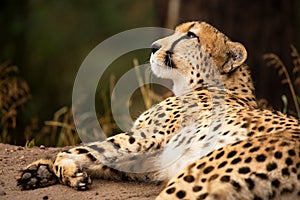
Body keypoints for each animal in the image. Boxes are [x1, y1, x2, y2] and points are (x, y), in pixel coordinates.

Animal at [17, 21, 298, 200]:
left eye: (191, 35)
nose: (153, 46)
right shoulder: (150, 158)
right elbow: (101, 157)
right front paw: (40, 171)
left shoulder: (153, 135)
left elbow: (93, 148)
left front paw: (62, 166)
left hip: (197, 176)